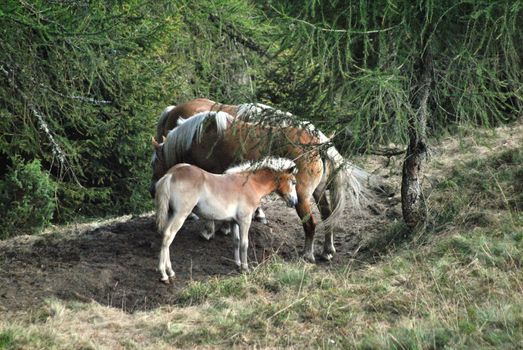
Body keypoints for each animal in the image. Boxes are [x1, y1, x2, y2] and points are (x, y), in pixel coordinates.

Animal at [151, 105, 368, 262]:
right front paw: (225, 228)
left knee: (310, 223)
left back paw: (308, 254)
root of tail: (319, 145)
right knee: (327, 216)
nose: (153, 190)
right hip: (319, 192)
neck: (200, 137)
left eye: (154, 163)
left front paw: (209, 231)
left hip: (301, 196)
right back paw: (327, 250)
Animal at [155, 157, 298, 284]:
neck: (251, 184)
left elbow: (236, 241)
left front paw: (238, 264)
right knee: (168, 236)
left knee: (166, 235)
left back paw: (170, 272)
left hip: (172, 213)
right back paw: (164, 275)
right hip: (181, 214)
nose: (295, 202)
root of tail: (171, 173)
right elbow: (244, 243)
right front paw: (245, 268)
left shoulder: (234, 221)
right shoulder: (245, 221)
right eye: (293, 182)